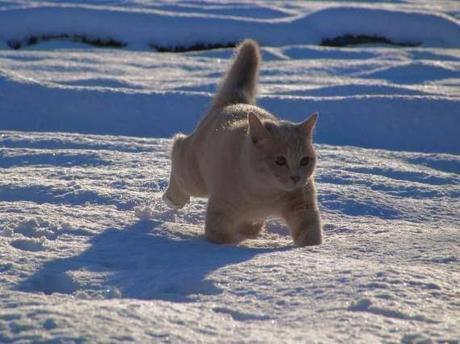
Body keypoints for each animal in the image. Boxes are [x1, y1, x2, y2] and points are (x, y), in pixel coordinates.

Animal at [164, 39, 322, 246]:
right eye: (280, 160)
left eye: (305, 160)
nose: (296, 177)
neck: (265, 192)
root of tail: (235, 102)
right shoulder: (221, 209)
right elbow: (219, 237)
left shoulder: (303, 206)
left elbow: (310, 233)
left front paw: (310, 250)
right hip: (194, 175)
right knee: (178, 146)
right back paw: (173, 198)